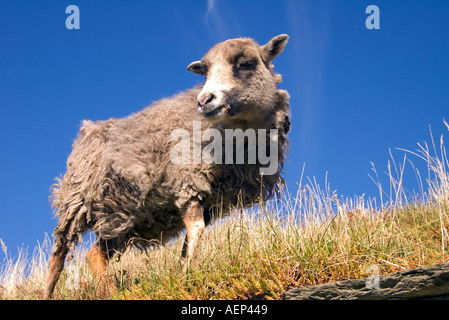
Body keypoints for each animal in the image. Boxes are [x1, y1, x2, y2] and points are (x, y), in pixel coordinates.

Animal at [43, 33, 290, 298]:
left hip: (121, 216)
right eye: (205, 73)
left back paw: (110, 291)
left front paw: (184, 270)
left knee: (94, 255)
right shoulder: (188, 180)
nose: (204, 101)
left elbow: (190, 239)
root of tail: (89, 129)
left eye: (246, 64)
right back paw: (48, 292)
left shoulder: (212, 200)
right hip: (75, 202)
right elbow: (196, 229)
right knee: (58, 257)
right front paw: (186, 278)